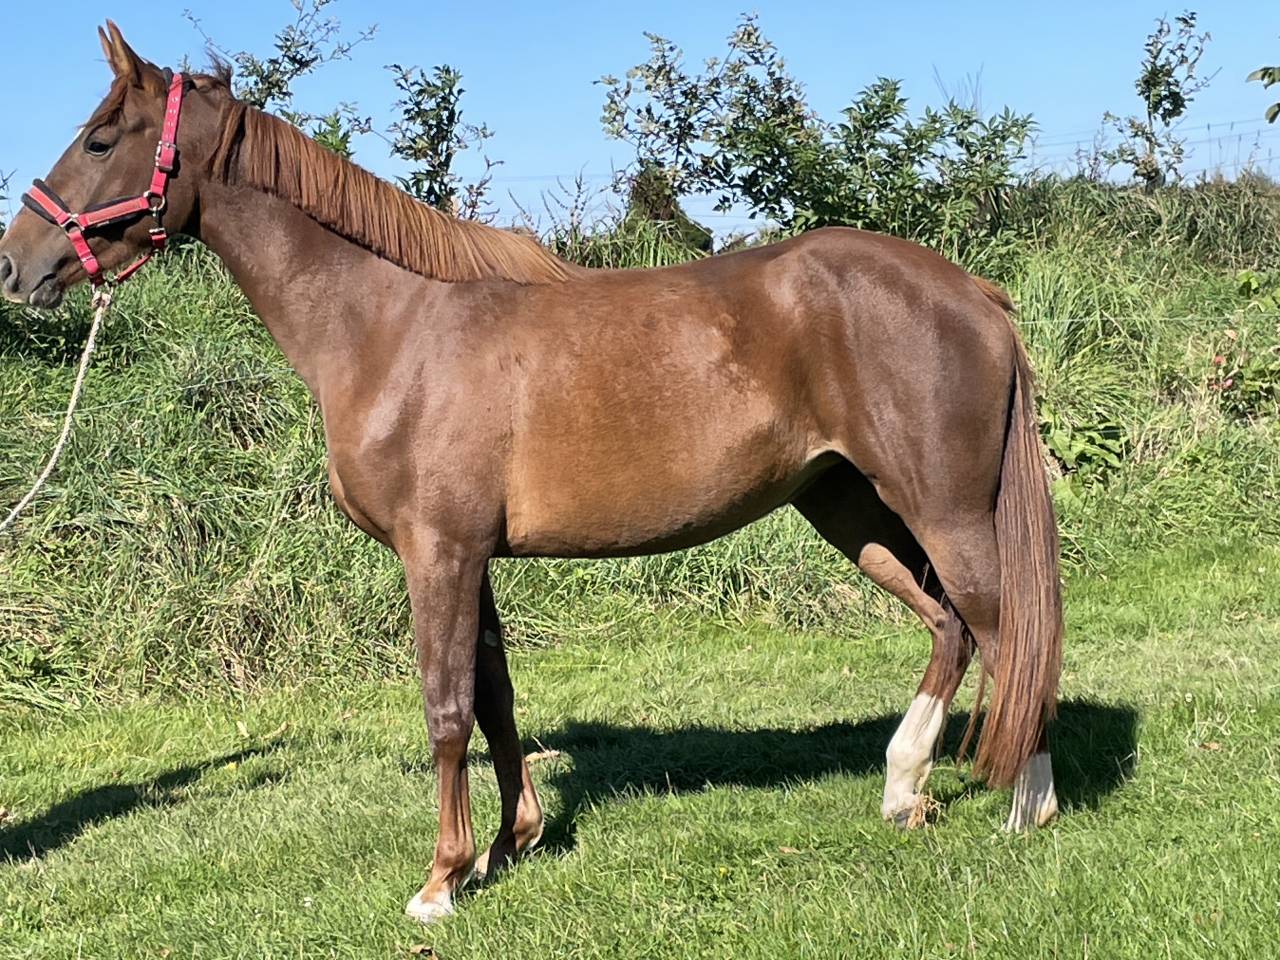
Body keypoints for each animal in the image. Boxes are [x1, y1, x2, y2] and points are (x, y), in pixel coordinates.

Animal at [0, 23, 1063, 923]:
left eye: (101, 138)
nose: (15, 264)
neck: (390, 325)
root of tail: (973, 291)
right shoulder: (472, 557)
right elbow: (496, 696)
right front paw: (511, 843)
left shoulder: (438, 552)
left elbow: (445, 706)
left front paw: (440, 879)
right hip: (845, 506)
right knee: (951, 625)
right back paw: (905, 788)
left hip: (942, 508)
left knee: (1003, 627)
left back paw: (1030, 805)